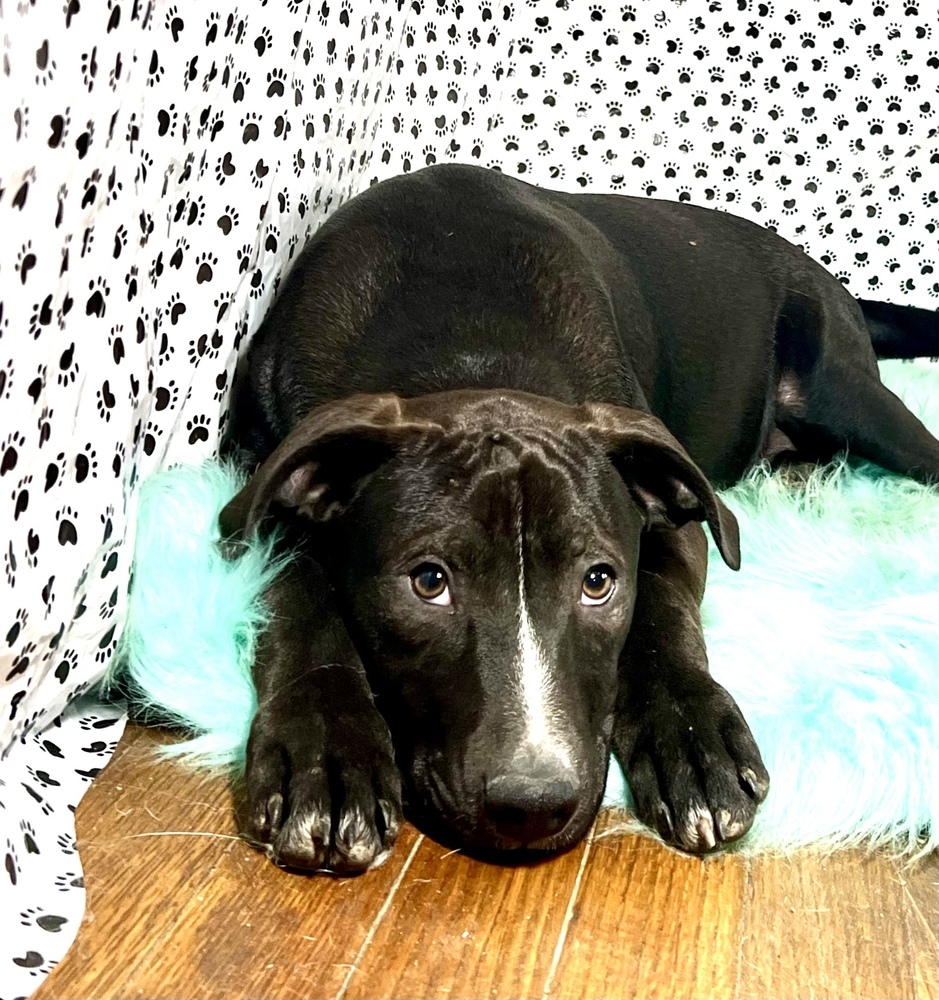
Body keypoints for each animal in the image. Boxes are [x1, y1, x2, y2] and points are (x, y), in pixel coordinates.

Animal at [222, 164, 939, 876]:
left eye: (598, 581)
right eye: (429, 581)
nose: (533, 803)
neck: (470, 348)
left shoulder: (671, 506)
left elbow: (662, 601)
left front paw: (692, 735)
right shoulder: (265, 478)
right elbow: (296, 591)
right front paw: (325, 753)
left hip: (844, 390)